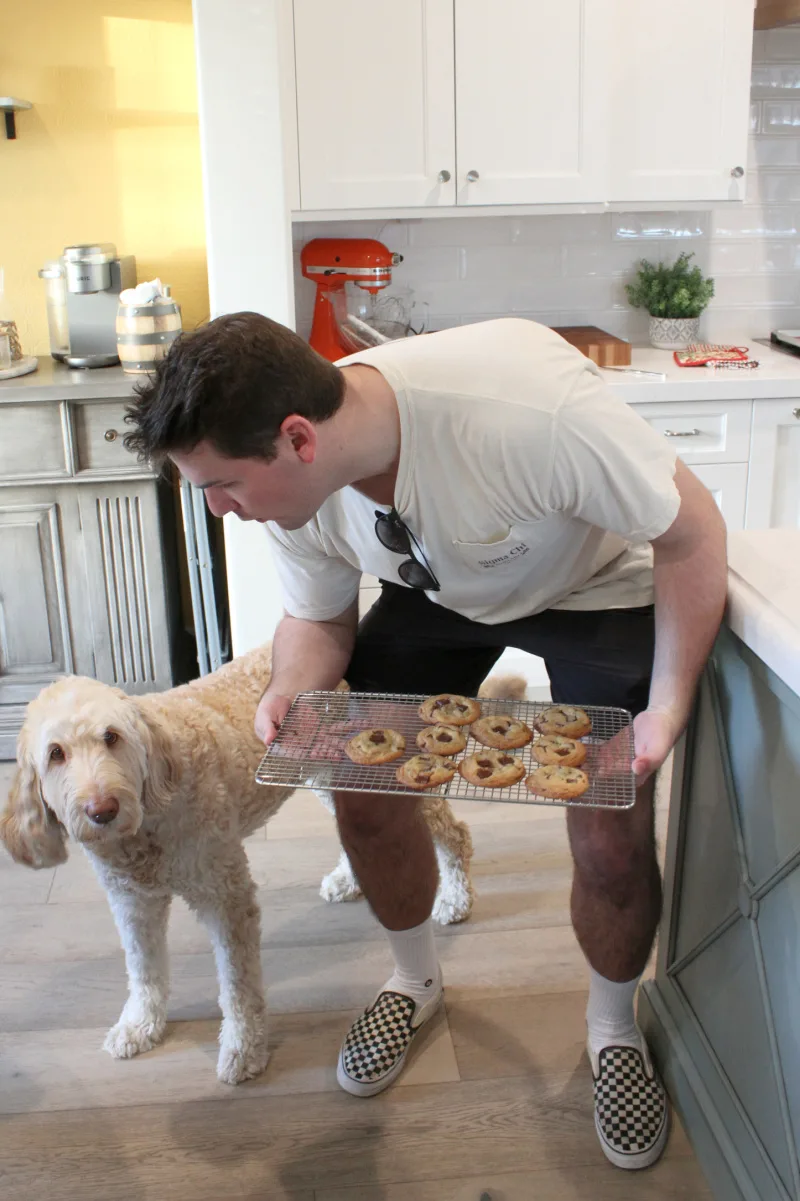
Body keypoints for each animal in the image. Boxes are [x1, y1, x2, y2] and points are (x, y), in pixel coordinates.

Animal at [0, 653, 480, 1085]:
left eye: (112, 737)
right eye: (56, 754)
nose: (102, 810)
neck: (148, 821)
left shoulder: (226, 897)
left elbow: (238, 987)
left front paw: (243, 1050)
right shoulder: (131, 902)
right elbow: (143, 971)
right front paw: (140, 1025)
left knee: (453, 831)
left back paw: (456, 896)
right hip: (329, 774)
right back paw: (350, 878)